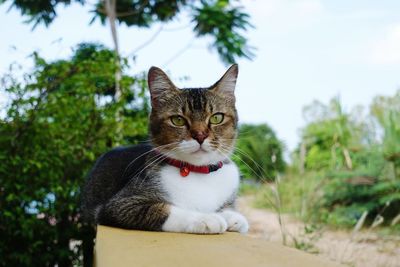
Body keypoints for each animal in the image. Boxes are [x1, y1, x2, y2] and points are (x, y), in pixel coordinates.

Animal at [82, 64, 248, 234]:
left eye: (216, 118)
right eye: (178, 120)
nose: (200, 136)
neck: (197, 171)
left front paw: (232, 217)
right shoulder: (119, 205)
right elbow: (164, 209)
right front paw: (206, 218)